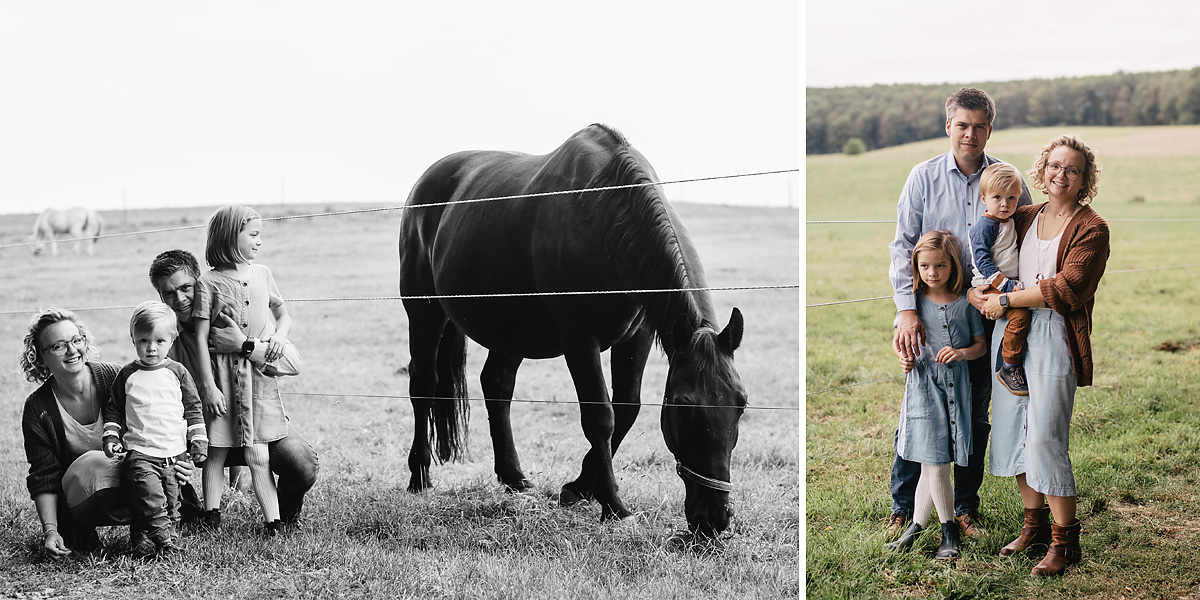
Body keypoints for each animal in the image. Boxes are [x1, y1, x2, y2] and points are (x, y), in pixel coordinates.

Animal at [398, 121, 744, 535]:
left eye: (741, 404)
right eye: (684, 407)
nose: (714, 518)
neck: (603, 215)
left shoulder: (638, 337)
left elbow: (626, 408)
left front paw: (579, 488)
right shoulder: (580, 338)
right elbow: (600, 417)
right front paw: (613, 505)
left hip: (512, 329)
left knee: (496, 385)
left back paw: (514, 477)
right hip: (425, 314)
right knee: (424, 385)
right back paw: (419, 477)